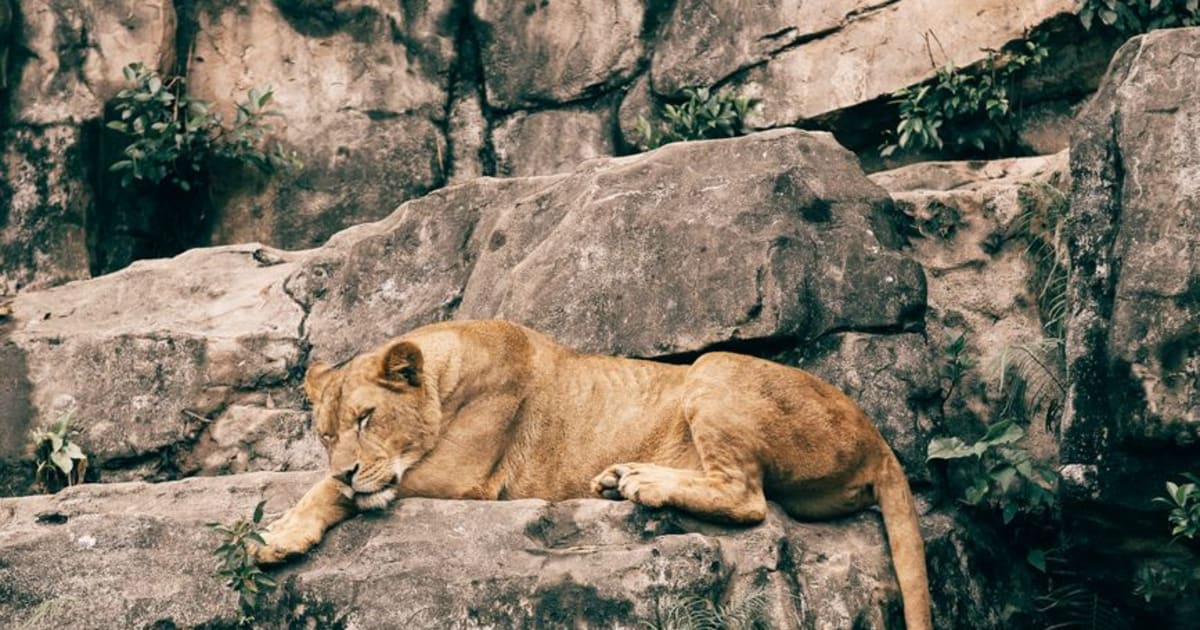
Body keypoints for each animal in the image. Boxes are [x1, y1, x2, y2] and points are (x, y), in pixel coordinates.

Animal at [256, 319, 931, 630]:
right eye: (325, 433)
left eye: (367, 418)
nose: (348, 466)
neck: (449, 367)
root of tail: (879, 439)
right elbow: (324, 483)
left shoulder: (464, 477)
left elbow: (327, 488)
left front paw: (278, 536)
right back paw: (620, 477)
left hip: (714, 369)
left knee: (748, 498)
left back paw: (640, 483)